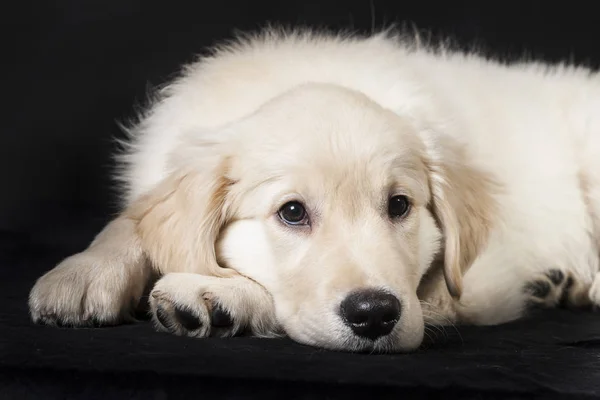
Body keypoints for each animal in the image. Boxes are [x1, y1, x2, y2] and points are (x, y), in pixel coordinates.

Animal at [28, 28, 600, 352]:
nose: (375, 315)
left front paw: (219, 295)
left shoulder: (475, 288)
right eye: (292, 212)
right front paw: (83, 273)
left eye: (399, 206)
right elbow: (131, 221)